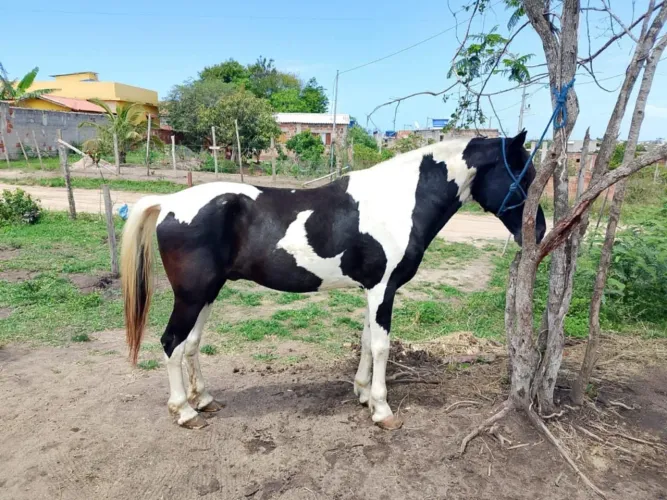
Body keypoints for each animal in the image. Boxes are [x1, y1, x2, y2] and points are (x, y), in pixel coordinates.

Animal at [120, 130, 546, 431]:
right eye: (522, 177)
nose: (539, 231)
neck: (398, 202)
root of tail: (169, 203)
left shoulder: (373, 290)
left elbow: (366, 341)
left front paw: (363, 394)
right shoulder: (383, 289)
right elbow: (381, 347)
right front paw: (382, 410)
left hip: (207, 293)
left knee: (190, 344)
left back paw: (204, 400)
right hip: (192, 295)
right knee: (171, 343)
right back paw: (185, 412)